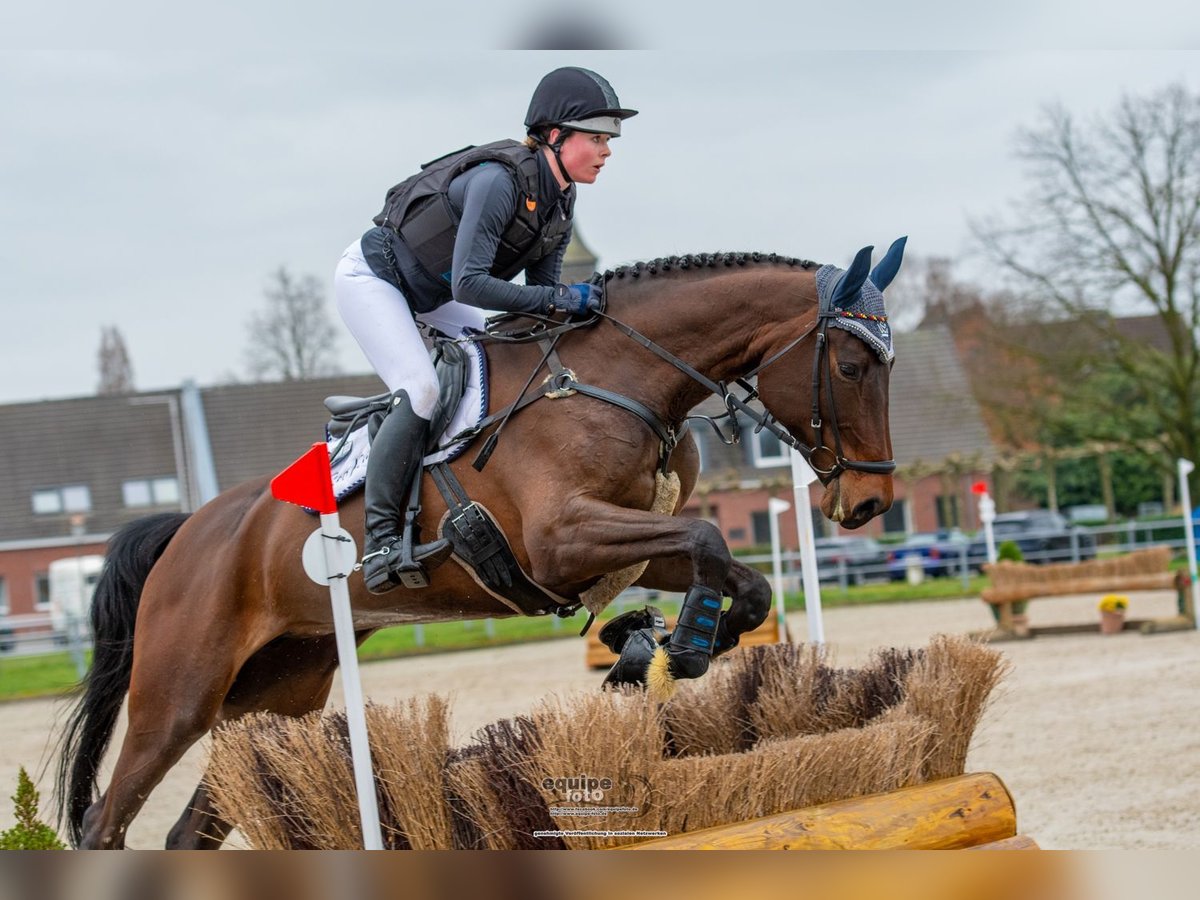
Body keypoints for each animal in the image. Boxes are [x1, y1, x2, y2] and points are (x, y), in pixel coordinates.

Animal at [54, 237, 902, 844]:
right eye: (850, 365)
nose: (871, 502)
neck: (617, 376)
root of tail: (187, 530)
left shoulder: (623, 546)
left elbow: (734, 570)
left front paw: (656, 648)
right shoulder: (562, 542)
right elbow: (706, 535)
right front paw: (676, 645)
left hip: (274, 700)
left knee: (189, 829)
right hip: (178, 698)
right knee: (105, 820)